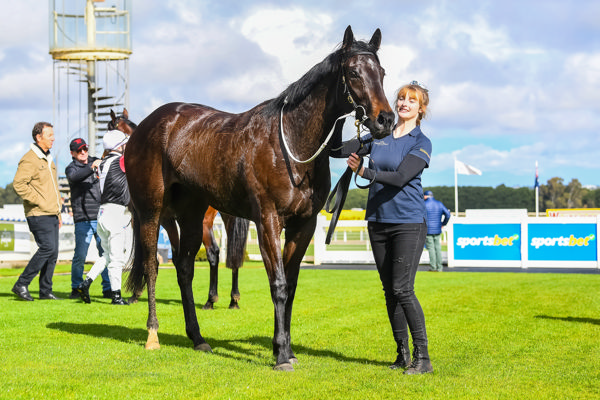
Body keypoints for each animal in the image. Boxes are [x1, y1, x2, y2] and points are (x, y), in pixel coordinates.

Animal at [109, 108, 250, 308]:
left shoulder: (154, 218)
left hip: (203, 222)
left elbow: (149, 257)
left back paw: (211, 298)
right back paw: (232, 298)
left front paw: (136, 293)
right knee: (233, 253)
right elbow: (176, 257)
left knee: (213, 252)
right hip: (226, 216)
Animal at [125, 25, 394, 372]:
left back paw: (197, 337)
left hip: (193, 215)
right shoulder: (267, 220)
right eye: (354, 72)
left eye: (382, 73)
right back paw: (153, 334)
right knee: (152, 266)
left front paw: (288, 349)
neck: (291, 144)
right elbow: (277, 284)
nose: (385, 120)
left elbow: (290, 285)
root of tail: (147, 126)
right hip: (151, 211)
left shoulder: (303, 225)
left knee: (184, 268)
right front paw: (280, 355)